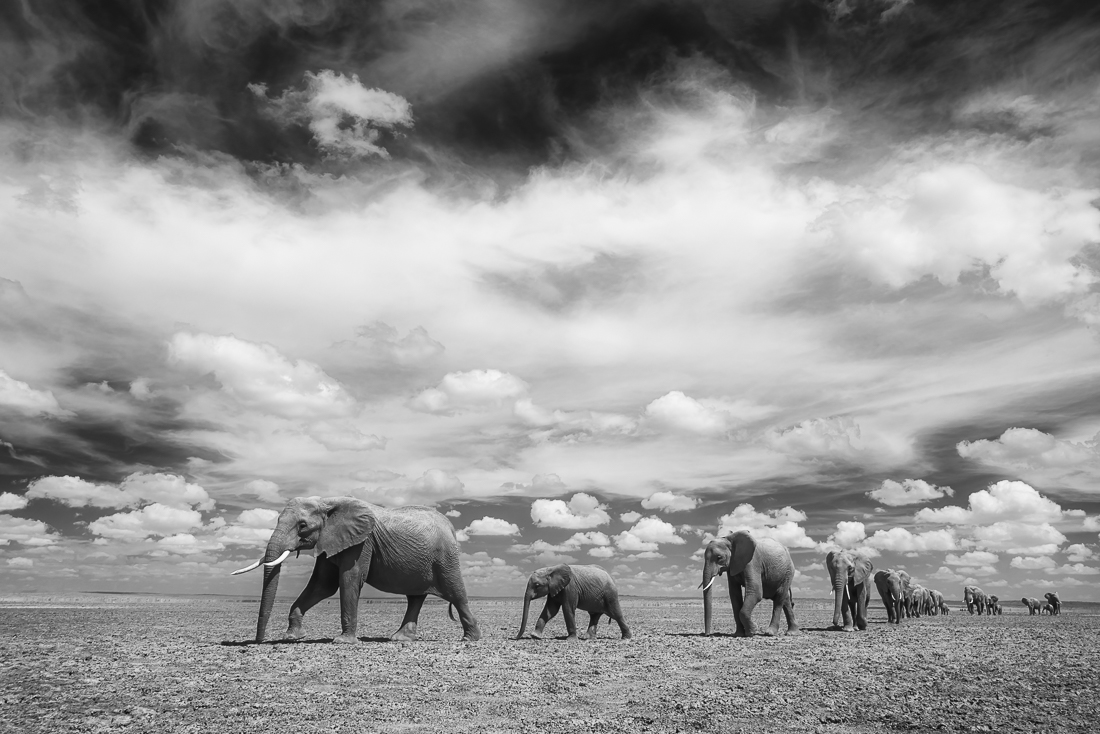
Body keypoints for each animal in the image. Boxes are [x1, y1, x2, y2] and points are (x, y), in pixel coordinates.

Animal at [232, 496, 481, 643]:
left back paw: (470, 640)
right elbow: (322, 586)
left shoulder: (362, 542)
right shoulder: (331, 539)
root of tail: (451, 527)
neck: (328, 502)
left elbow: (349, 579)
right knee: (415, 598)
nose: (259, 642)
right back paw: (399, 639)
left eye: (302, 526)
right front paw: (292, 637)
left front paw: (342, 642)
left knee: (456, 593)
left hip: (445, 557)